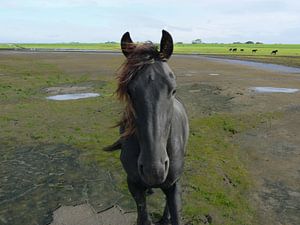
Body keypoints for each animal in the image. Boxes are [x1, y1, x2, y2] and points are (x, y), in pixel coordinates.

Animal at [105, 30, 189, 225]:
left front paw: (167, 218)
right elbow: (142, 214)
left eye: (173, 90)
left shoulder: (174, 184)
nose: (154, 171)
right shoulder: (133, 184)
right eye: (129, 91)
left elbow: (174, 210)